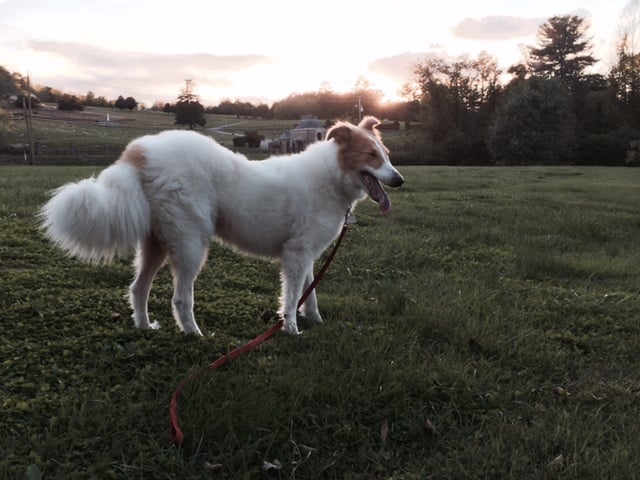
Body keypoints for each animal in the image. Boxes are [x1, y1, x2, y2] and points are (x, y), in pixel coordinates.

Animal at [40, 117, 402, 334]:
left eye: (386, 153)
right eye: (371, 155)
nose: (399, 180)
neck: (331, 175)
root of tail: (141, 151)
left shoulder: (306, 254)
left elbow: (308, 293)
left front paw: (313, 319)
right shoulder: (296, 255)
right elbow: (291, 296)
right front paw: (291, 329)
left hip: (157, 245)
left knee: (138, 288)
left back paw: (144, 327)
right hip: (190, 245)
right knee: (180, 299)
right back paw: (196, 336)